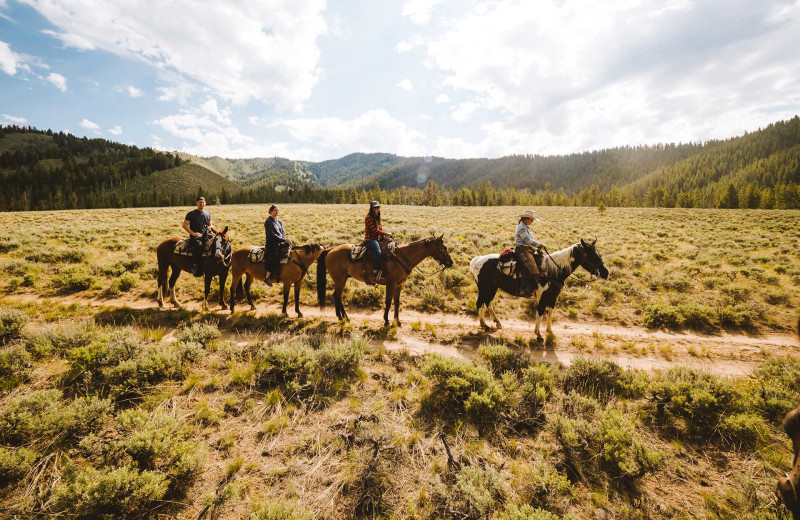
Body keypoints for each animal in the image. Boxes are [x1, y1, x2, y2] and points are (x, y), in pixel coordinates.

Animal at [318, 238, 454, 328]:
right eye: (443, 248)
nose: (450, 262)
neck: (402, 257)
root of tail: (330, 250)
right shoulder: (391, 284)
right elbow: (388, 302)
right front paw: (386, 321)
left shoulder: (399, 285)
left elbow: (397, 303)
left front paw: (397, 321)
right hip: (340, 279)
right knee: (338, 296)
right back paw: (345, 318)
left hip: (342, 279)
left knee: (336, 295)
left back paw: (340, 317)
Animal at [466, 238, 608, 340]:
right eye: (592, 256)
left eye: (599, 254)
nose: (606, 273)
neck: (553, 271)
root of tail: (476, 260)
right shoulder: (542, 297)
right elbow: (540, 313)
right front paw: (538, 335)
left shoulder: (553, 297)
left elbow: (549, 314)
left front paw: (550, 332)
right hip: (485, 288)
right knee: (480, 303)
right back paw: (485, 325)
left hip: (492, 288)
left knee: (487, 302)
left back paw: (497, 323)